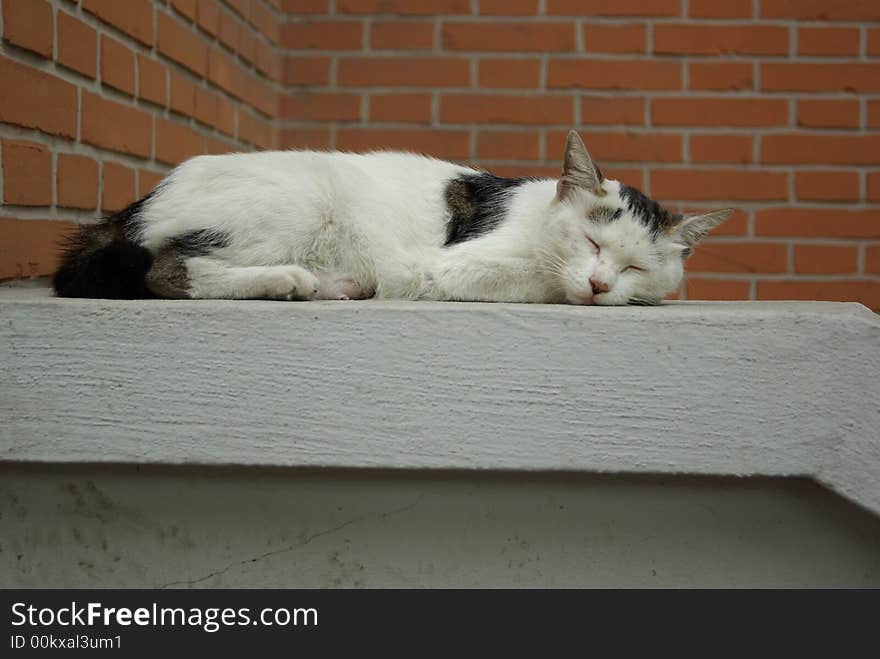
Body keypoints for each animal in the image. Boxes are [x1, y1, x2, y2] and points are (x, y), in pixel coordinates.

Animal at [51, 131, 732, 306]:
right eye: (590, 239)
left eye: (636, 266)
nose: (598, 284)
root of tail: (140, 201)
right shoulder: (448, 267)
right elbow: (537, 280)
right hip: (297, 203)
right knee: (167, 270)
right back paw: (291, 280)